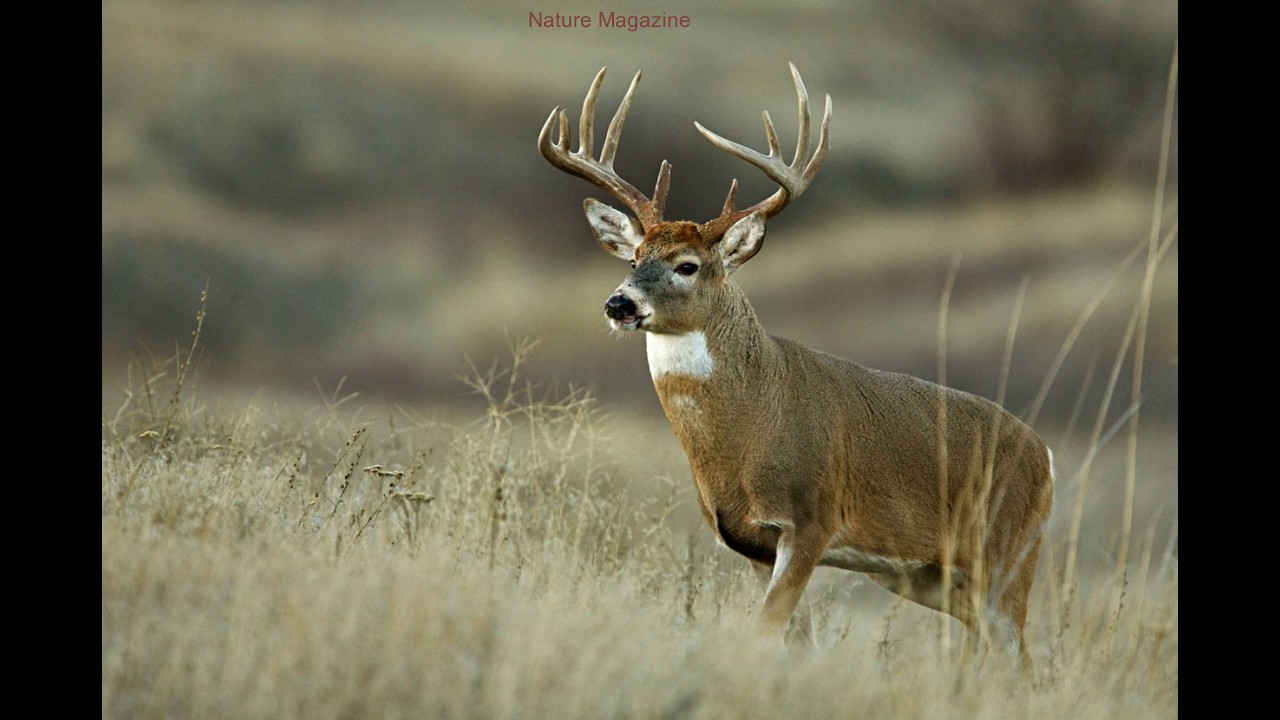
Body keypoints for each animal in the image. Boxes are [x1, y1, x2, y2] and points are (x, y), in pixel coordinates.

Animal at [537, 63, 1054, 664]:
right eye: (635, 258)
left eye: (687, 265)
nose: (619, 304)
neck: (753, 423)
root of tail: (1046, 457)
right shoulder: (751, 542)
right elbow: (793, 638)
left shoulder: (812, 519)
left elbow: (764, 630)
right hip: (929, 575)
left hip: (1007, 550)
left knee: (1019, 654)